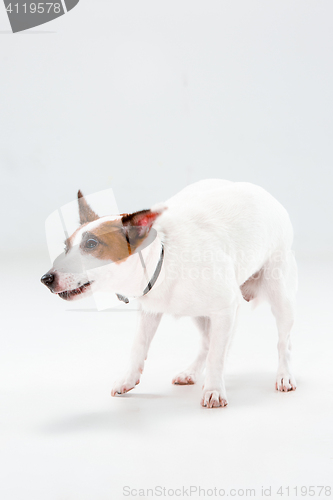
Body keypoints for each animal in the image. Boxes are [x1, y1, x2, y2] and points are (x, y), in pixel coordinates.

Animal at [40, 182, 296, 408]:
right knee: (207, 343)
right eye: (66, 247)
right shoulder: (149, 311)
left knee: (283, 342)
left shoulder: (225, 310)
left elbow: (217, 356)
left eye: (92, 244)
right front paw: (128, 379)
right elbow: (139, 346)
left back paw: (284, 375)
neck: (163, 257)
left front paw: (214, 389)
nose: (46, 279)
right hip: (199, 313)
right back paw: (191, 371)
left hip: (279, 294)